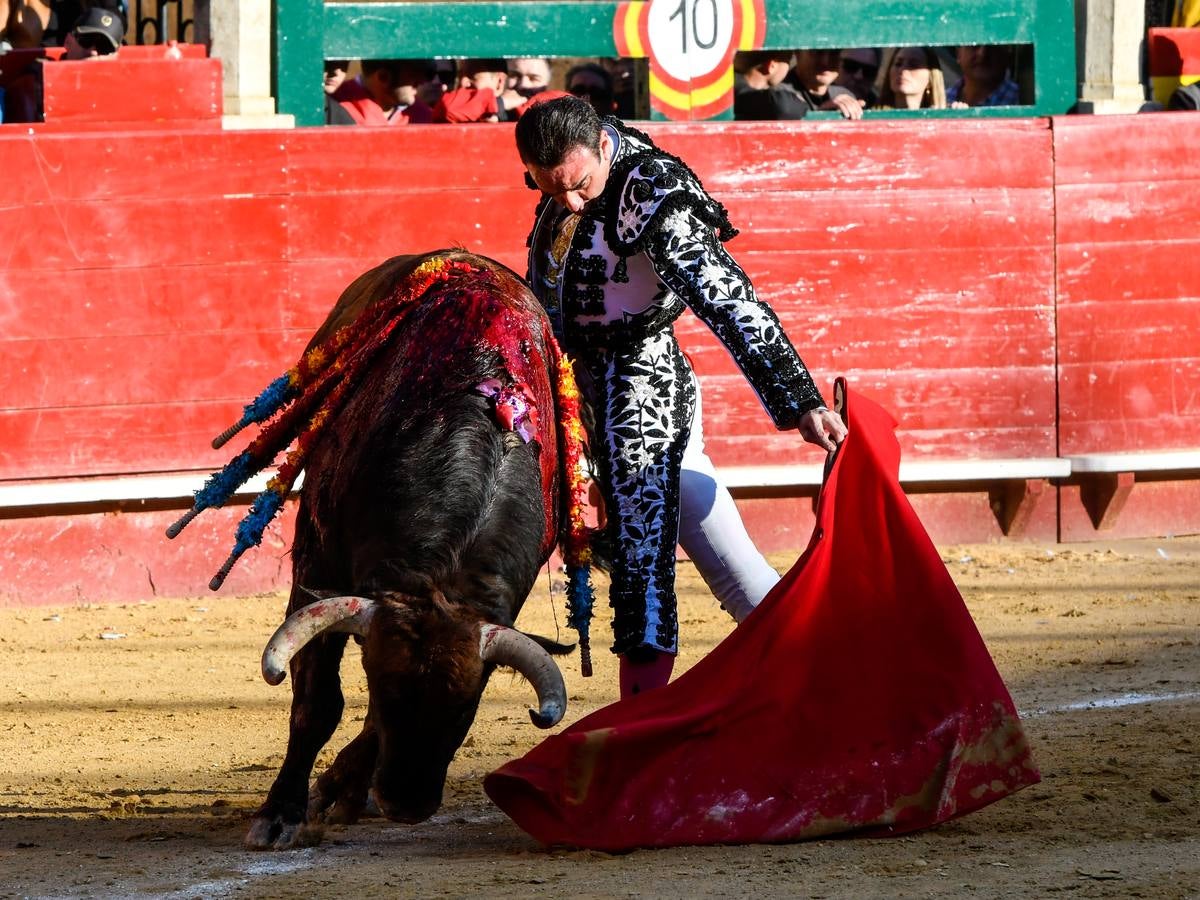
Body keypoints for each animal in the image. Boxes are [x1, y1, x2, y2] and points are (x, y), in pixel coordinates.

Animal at [171, 250, 578, 849]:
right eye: (383, 690)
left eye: (468, 704)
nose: (407, 805)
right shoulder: (318, 564)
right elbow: (317, 703)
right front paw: (281, 813)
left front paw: (337, 788)